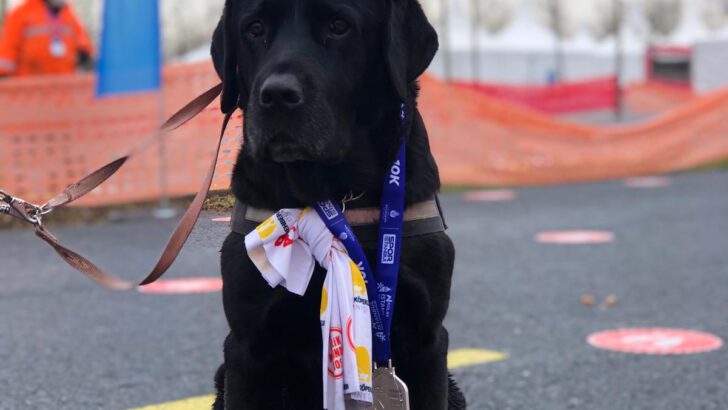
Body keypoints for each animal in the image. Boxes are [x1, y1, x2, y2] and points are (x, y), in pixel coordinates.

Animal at [210, 0, 464, 408]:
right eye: (255, 28)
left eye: (339, 26)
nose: (277, 95)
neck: (337, 195)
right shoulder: (248, 348)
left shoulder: (427, 341)